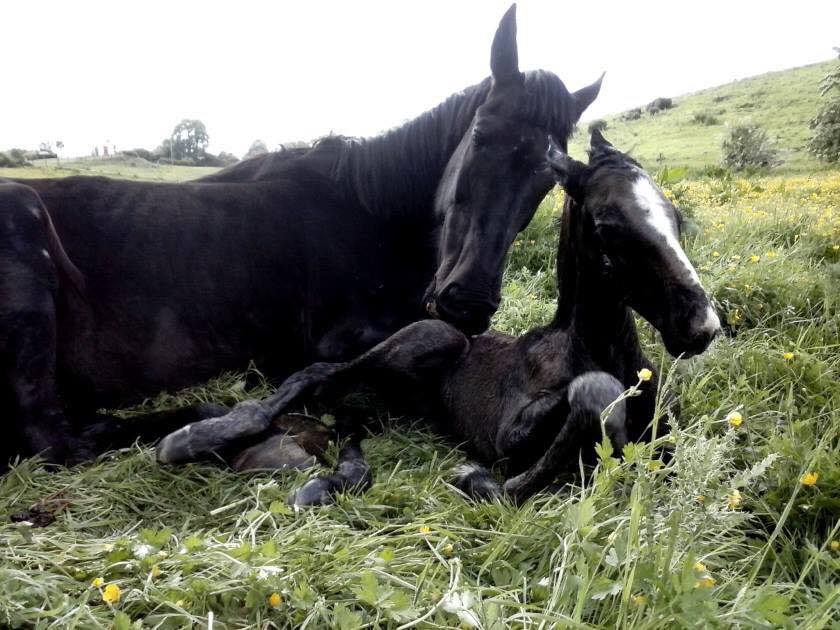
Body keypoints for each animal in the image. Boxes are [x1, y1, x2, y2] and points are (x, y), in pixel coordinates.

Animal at [0, 4, 604, 470]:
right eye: (481, 135)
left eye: (552, 174)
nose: (469, 301)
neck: (370, 213)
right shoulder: (340, 341)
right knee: (55, 441)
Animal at [158, 131, 720, 506]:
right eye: (607, 225)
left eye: (674, 216)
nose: (701, 327)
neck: (598, 349)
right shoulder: (506, 437)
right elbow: (590, 396)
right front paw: (473, 478)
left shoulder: (667, 444)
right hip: (433, 336)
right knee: (314, 375)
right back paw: (193, 438)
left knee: (346, 415)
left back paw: (329, 478)